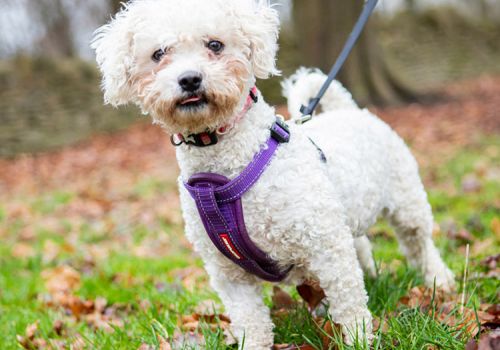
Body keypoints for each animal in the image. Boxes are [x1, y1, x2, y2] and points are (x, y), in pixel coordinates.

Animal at [92, 1, 456, 348]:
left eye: (215, 44)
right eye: (158, 54)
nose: (190, 79)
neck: (226, 170)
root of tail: (351, 111)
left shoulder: (326, 246)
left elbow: (350, 302)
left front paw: (357, 340)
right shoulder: (228, 273)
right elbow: (250, 319)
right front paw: (254, 343)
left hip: (406, 203)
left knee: (419, 244)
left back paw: (440, 281)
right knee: (363, 247)